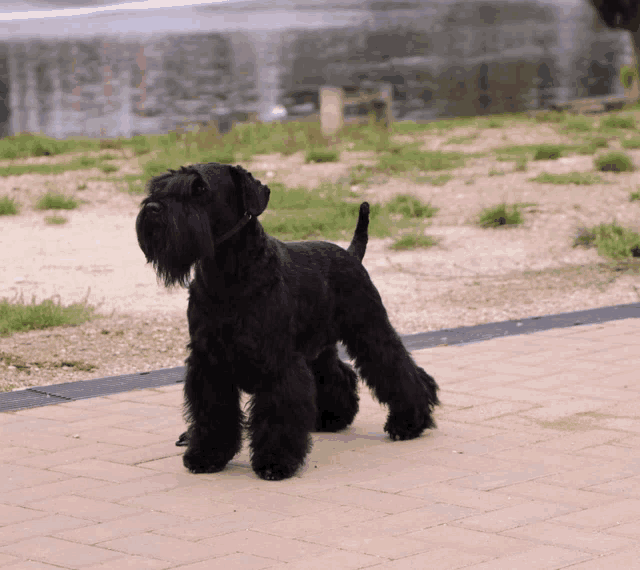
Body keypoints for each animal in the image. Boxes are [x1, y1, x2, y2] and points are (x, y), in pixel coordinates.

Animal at [136, 162, 440, 478]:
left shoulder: (277, 360)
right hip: (319, 348)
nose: (153, 209)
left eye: (200, 188)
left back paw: (409, 422)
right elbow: (212, 411)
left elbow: (277, 412)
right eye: (160, 185)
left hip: (369, 329)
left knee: (397, 368)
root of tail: (351, 253)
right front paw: (206, 455)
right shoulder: (209, 360)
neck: (228, 274)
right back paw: (332, 418)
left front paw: (275, 462)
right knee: (339, 374)